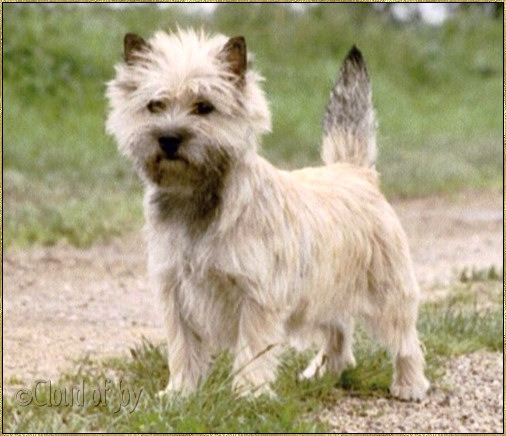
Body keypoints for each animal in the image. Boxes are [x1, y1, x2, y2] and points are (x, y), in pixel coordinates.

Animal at [105, 29, 428, 400]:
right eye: (154, 105)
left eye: (204, 107)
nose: (169, 138)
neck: (195, 198)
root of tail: (355, 171)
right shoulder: (175, 289)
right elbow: (182, 347)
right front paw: (180, 394)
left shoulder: (257, 293)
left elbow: (252, 347)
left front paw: (248, 394)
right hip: (325, 290)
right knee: (339, 331)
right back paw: (323, 372)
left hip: (388, 290)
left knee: (405, 339)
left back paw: (409, 384)